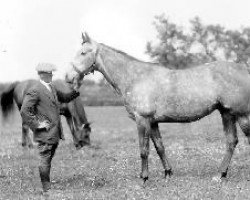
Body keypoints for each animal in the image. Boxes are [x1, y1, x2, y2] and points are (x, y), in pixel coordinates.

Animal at [67, 32, 250, 183]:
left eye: (83, 53)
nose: (68, 77)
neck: (135, 77)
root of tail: (244, 69)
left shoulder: (142, 120)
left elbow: (144, 150)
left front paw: (144, 178)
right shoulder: (153, 122)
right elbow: (160, 147)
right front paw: (168, 173)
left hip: (241, 115)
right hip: (227, 113)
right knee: (231, 142)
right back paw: (220, 174)